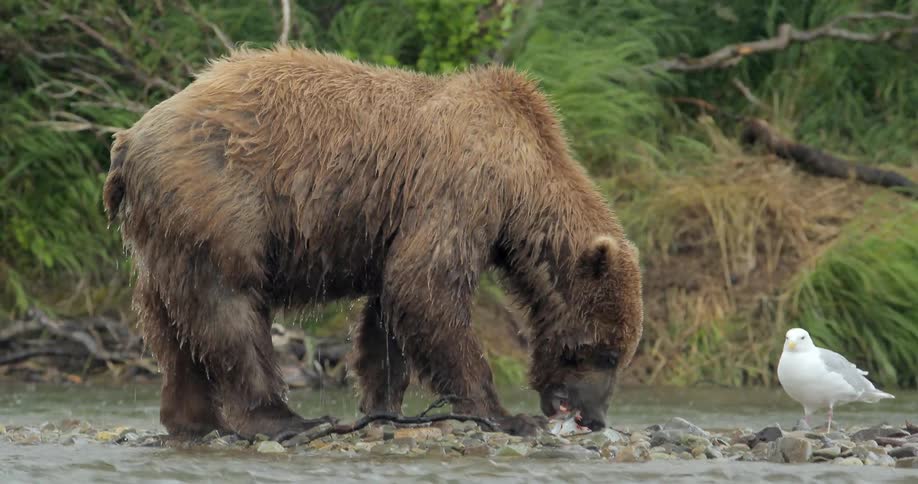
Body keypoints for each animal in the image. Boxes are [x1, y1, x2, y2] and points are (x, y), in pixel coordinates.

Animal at [102, 46, 643, 439]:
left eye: (621, 352)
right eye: (604, 351)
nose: (595, 417)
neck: (522, 177)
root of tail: (130, 137)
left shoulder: (401, 220)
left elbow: (391, 311)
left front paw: (382, 404)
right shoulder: (460, 189)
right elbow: (427, 286)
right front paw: (508, 414)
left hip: (167, 230)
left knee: (169, 322)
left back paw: (192, 419)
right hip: (220, 197)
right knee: (230, 308)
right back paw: (287, 419)